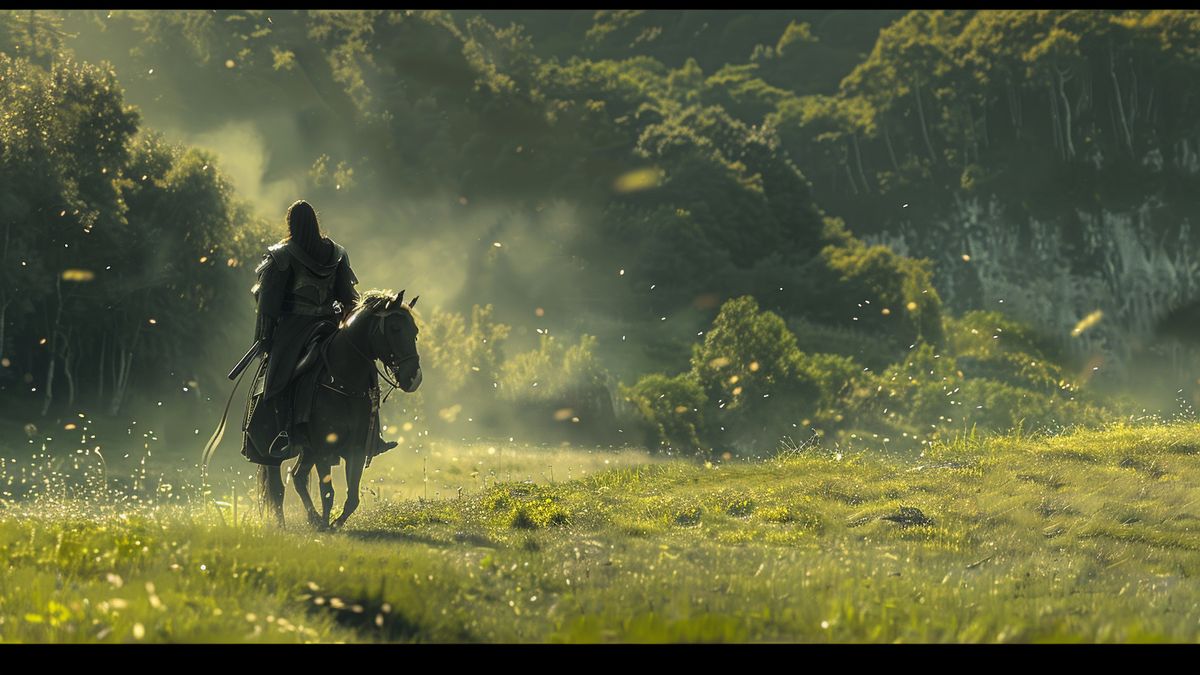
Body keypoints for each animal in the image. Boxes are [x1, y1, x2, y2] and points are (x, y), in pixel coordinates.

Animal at [256, 285, 422, 528]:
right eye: (395, 328)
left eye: (415, 331)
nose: (414, 378)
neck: (343, 381)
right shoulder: (324, 450)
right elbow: (327, 492)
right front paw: (327, 526)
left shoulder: (356, 450)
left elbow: (352, 498)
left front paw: (333, 524)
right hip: (277, 453)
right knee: (277, 488)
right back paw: (283, 525)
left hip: (308, 451)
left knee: (297, 477)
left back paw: (313, 518)